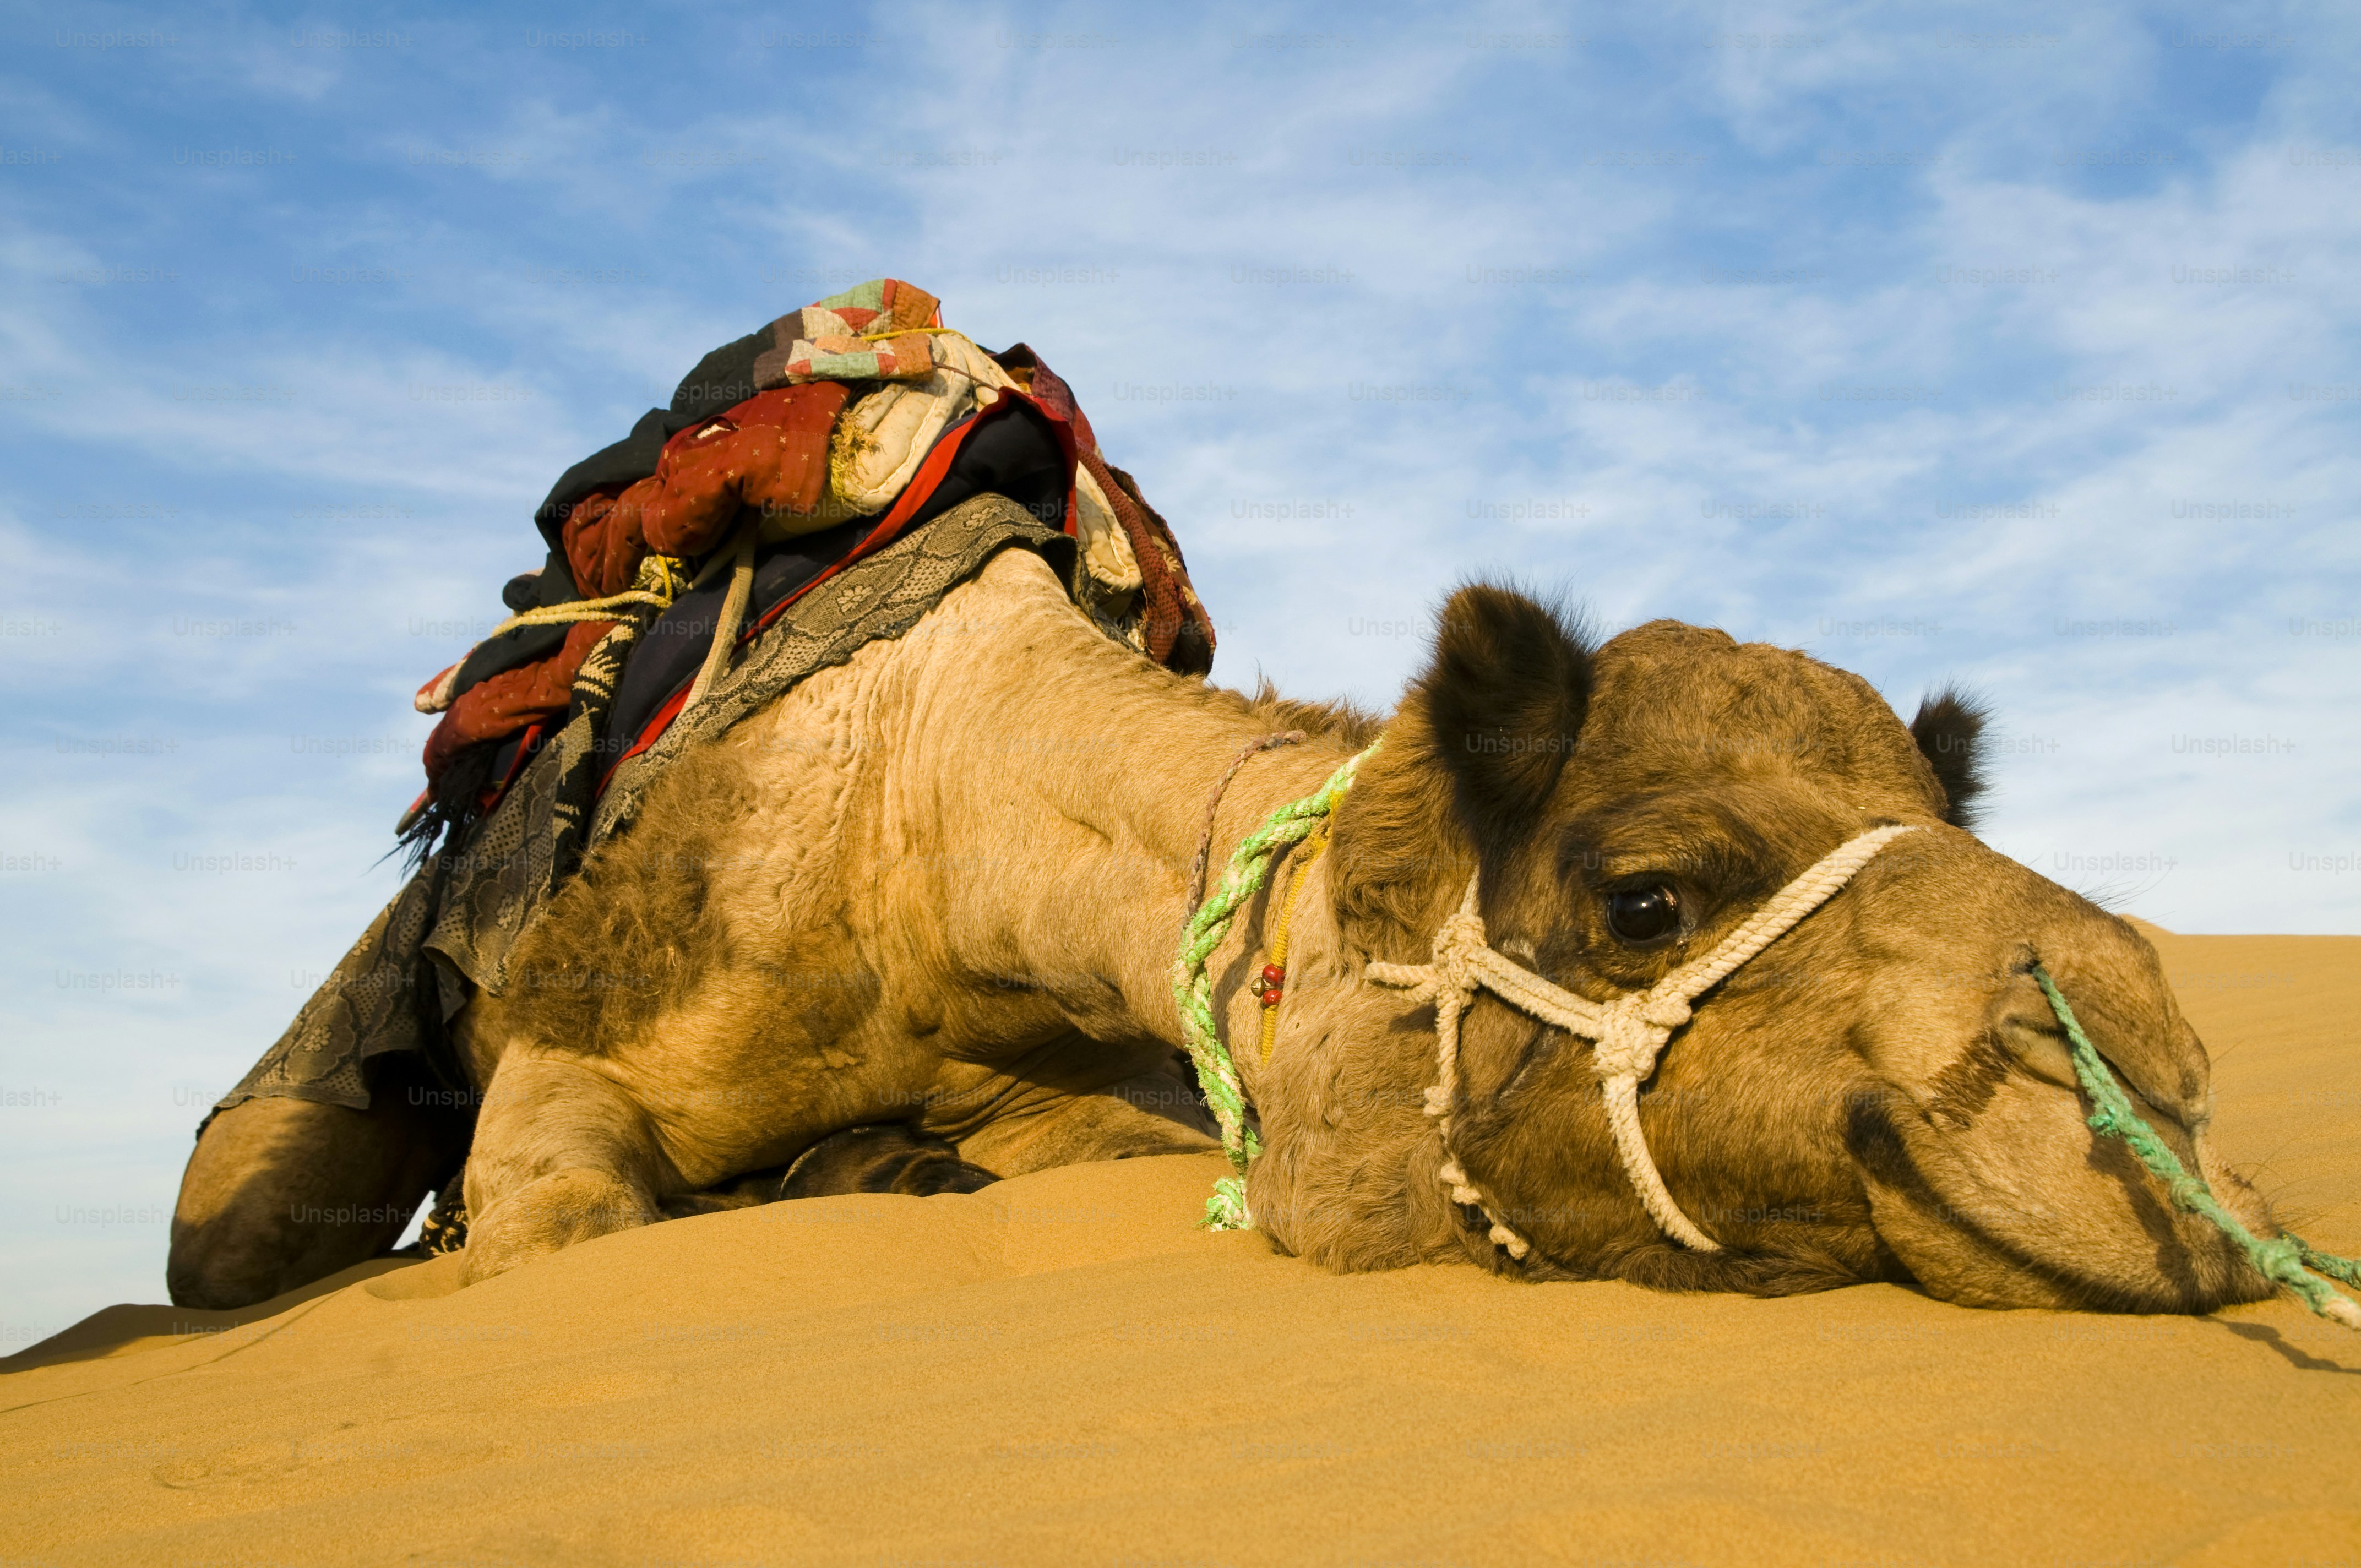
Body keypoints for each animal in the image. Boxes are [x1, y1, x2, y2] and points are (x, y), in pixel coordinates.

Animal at [172, 536, 2286, 1316]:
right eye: (1644, 898)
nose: (2145, 1098)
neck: (919, 814)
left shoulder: (1078, 1082)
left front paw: (879, 1166)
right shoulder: (584, 1034)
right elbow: (584, 1215)